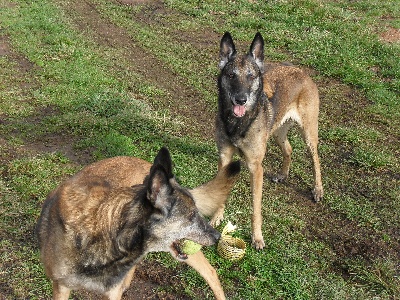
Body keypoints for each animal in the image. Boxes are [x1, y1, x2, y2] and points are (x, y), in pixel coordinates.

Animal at [36, 146, 239, 298]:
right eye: (191, 215)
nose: (217, 236)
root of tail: (146, 165)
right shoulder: (61, 287)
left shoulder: (111, 293)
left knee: (211, 272)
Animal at [214, 31, 324, 250]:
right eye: (231, 76)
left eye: (251, 76)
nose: (241, 99)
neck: (238, 123)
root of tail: (301, 72)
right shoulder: (224, 158)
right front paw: (215, 218)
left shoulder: (256, 168)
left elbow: (256, 208)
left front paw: (257, 237)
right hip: (278, 131)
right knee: (289, 149)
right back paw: (282, 174)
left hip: (308, 133)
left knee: (316, 159)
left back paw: (318, 189)